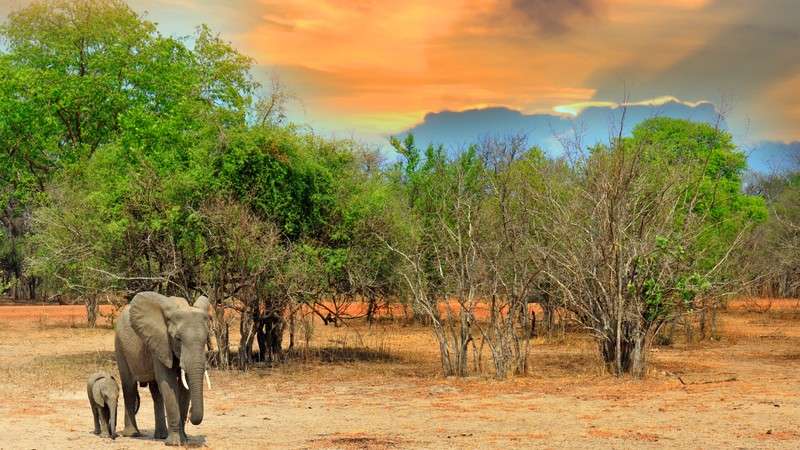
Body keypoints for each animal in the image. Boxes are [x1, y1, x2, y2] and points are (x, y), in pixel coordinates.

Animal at [114, 291, 211, 446]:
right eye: (178, 339)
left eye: (206, 338)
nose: (191, 414)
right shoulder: (160, 342)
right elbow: (168, 383)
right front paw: (175, 443)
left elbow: (184, 388)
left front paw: (184, 440)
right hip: (120, 346)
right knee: (129, 387)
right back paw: (133, 434)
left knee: (156, 393)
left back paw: (160, 436)